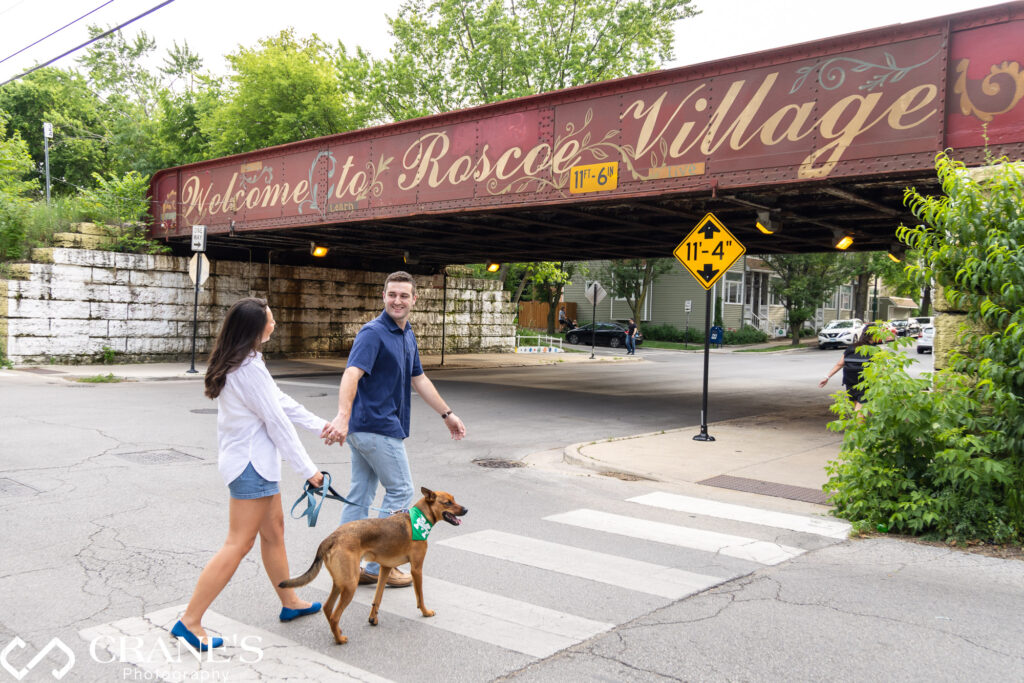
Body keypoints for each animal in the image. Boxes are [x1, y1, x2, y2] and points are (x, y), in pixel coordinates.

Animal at [282, 489, 468, 643]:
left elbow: (377, 598)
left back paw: (338, 631)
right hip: (350, 584)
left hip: (340, 583)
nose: (466, 510)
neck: (418, 519)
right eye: (447, 502)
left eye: (454, 499)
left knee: (328, 608)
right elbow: (420, 596)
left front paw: (373, 618)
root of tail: (332, 537)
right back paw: (340, 639)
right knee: (335, 615)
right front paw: (425, 612)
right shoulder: (417, 569)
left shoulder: (385, 569)